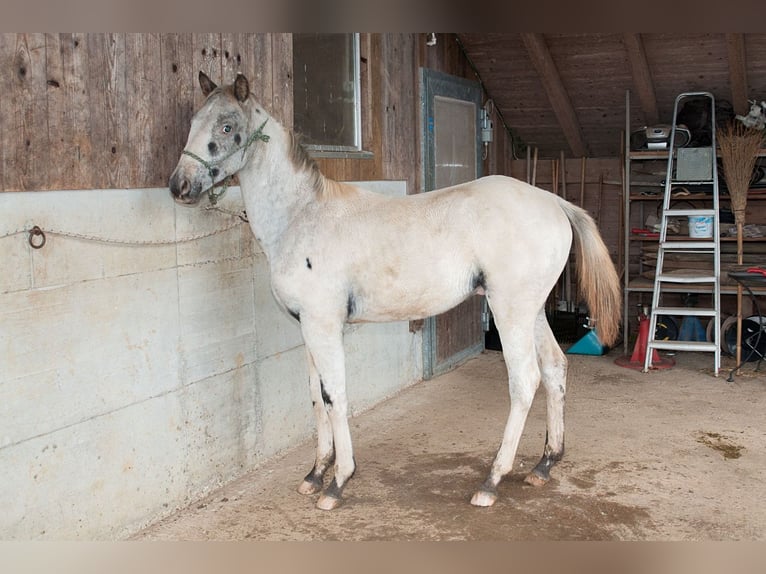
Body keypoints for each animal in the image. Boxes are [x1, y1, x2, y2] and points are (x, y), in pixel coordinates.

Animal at [170, 72, 624, 512]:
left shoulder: (324, 325)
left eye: (227, 126)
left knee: (525, 380)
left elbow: (335, 396)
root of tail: (554, 202)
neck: (302, 217)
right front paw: (315, 474)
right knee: (554, 368)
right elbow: (317, 397)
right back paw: (544, 464)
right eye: (192, 121)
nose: (179, 186)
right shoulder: (307, 329)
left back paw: (491, 482)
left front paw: (338, 483)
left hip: (510, 311)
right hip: (531, 311)